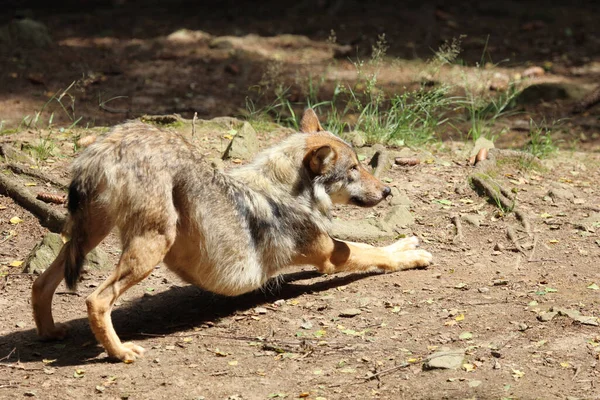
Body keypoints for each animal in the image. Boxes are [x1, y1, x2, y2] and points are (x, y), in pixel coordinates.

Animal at [31, 108, 432, 360]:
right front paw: (413, 255)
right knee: (96, 299)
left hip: (89, 233)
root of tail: (108, 144)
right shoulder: (330, 256)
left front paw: (408, 242)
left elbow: (375, 246)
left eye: (363, 165)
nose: (387, 191)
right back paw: (120, 353)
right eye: (353, 169)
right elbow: (371, 251)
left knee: (40, 282)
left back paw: (49, 333)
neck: (287, 188)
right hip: (152, 243)